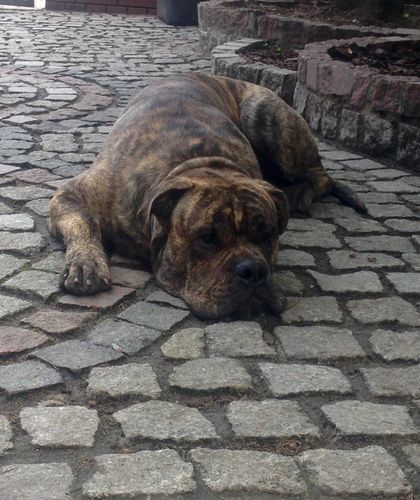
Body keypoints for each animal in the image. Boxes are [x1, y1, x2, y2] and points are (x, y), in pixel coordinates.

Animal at [49, 72, 366, 319]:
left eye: (268, 236)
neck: (198, 163)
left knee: (321, 175)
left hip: (266, 117)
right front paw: (86, 264)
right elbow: (83, 226)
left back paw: (301, 193)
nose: (253, 270)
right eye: (207, 239)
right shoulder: (73, 194)